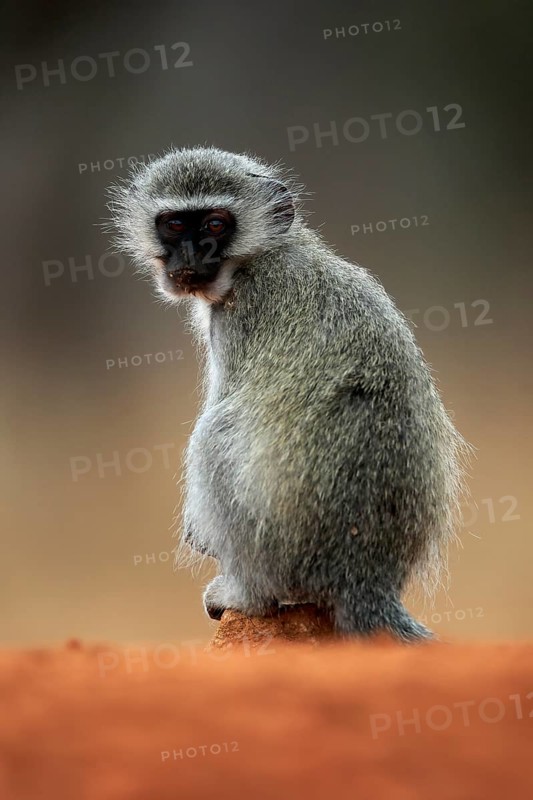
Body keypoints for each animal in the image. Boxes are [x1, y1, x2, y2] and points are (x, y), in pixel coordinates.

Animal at [107, 146, 472, 642]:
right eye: (176, 225)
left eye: (216, 225)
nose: (193, 254)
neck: (263, 255)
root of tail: (366, 577)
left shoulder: (237, 318)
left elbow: (222, 409)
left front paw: (197, 533)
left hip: (282, 554)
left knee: (216, 433)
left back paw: (247, 596)